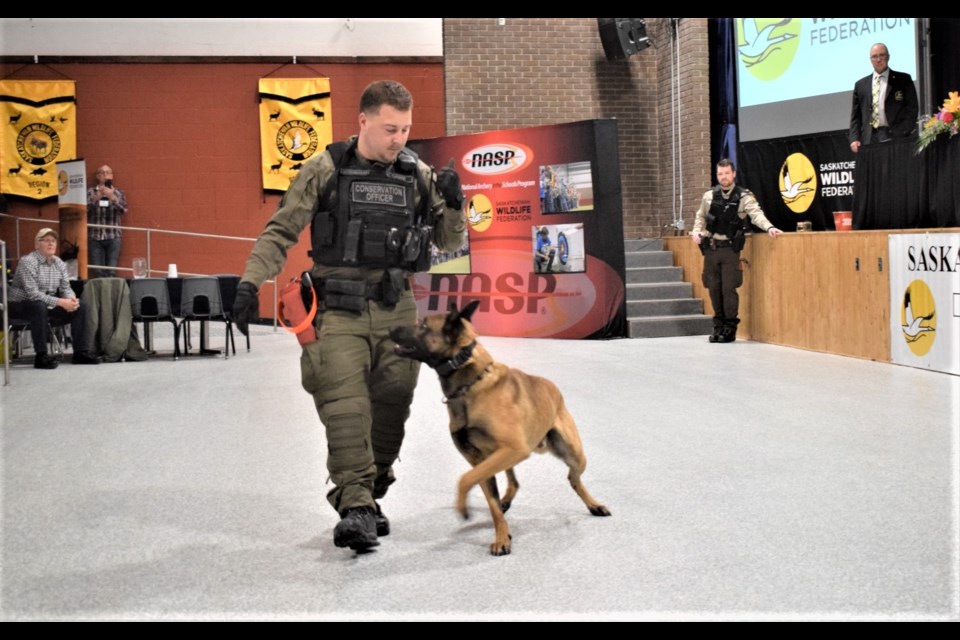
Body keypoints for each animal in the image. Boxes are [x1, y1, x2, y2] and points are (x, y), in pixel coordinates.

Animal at [388, 300, 608, 556]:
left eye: (423, 325)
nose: (390, 328)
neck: (469, 382)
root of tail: (552, 386)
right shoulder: (482, 459)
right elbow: (488, 499)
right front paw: (502, 537)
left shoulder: (508, 451)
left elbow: (465, 479)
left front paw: (463, 507)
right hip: (509, 454)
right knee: (515, 480)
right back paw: (508, 499)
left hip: (573, 453)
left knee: (573, 478)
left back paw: (594, 505)